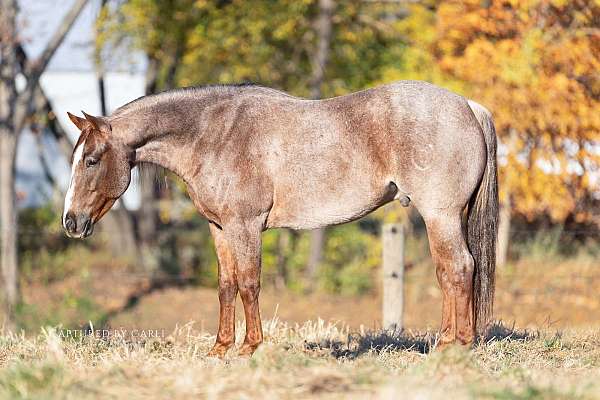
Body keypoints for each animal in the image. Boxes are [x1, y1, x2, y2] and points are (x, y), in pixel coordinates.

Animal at [63, 80, 500, 356]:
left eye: (91, 160)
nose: (70, 222)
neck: (214, 135)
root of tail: (469, 106)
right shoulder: (220, 228)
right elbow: (226, 286)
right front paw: (220, 348)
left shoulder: (246, 226)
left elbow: (249, 283)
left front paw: (250, 347)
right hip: (445, 218)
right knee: (450, 272)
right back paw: (449, 341)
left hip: (440, 215)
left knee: (459, 268)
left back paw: (455, 346)